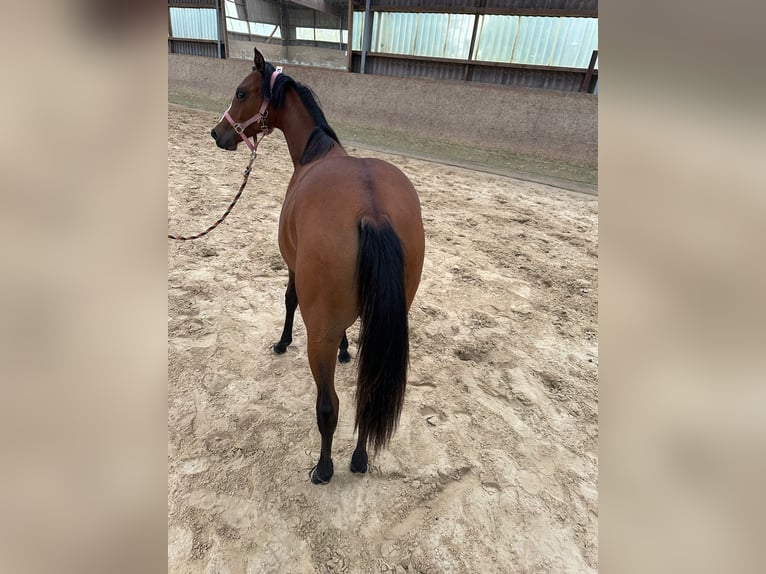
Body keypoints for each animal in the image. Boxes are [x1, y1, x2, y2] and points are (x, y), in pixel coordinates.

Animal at [211, 48, 425, 484]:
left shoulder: (292, 265)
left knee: (329, 405)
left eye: (241, 92)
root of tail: (373, 211)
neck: (316, 154)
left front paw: (282, 342)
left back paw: (325, 468)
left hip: (318, 337)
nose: (217, 134)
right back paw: (360, 459)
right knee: (366, 396)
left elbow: (288, 300)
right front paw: (346, 350)